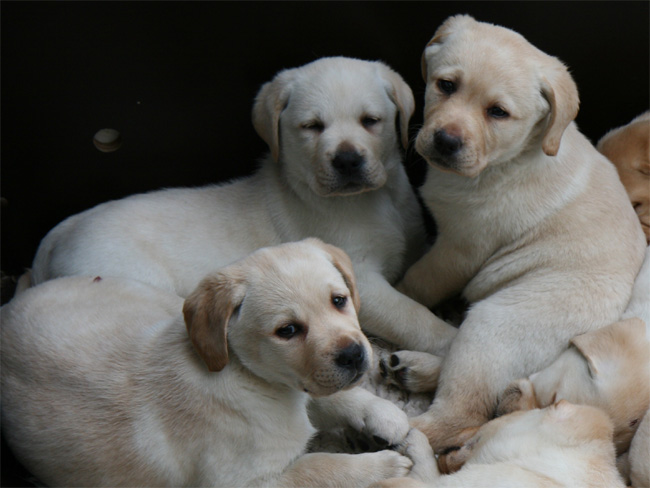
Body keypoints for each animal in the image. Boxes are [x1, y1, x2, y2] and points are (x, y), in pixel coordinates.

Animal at [1, 240, 426, 488]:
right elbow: (318, 467)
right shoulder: (247, 483)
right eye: (287, 330)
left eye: (339, 300)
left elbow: (333, 397)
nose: (354, 355)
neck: (241, 372)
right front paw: (383, 468)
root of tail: (9, 305)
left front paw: (383, 414)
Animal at [26, 56, 456, 358]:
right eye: (312, 127)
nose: (347, 160)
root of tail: (60, 234)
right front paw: (452, 339)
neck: (371, 201)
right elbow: (413, 316)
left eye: (371, 121)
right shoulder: (361, 279)